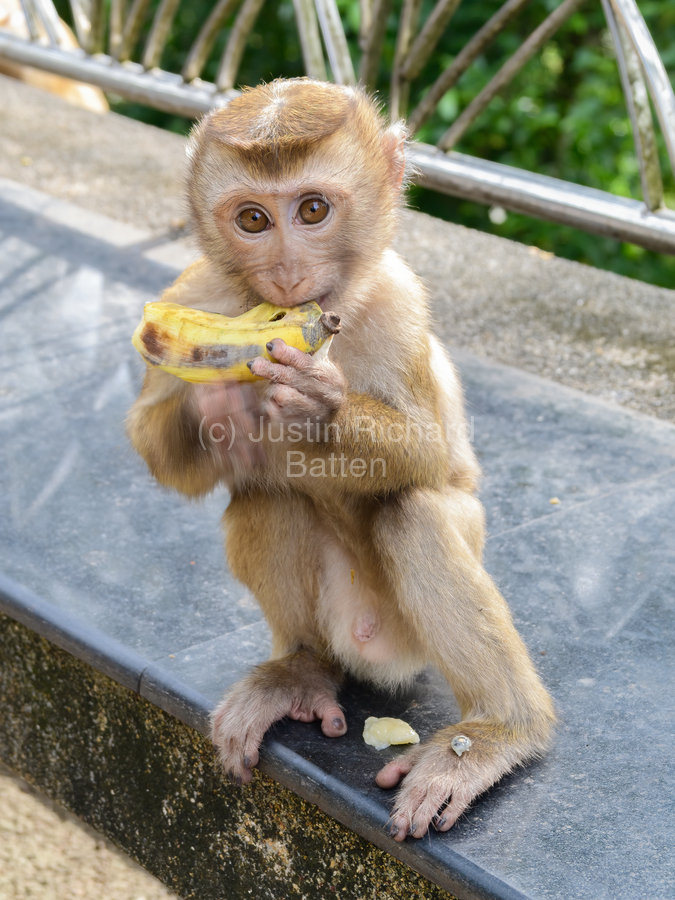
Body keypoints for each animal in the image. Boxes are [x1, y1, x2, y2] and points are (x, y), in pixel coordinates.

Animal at [127, 78, 556, 841]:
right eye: (253, 219)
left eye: (313, 210)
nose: (288, 273)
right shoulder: (193, 293)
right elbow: (160, 448)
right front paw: (216, 408)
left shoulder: (398, 303)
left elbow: (428, 454)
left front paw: (320, 404)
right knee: (265, 498)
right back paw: (302, 673)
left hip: (403, 637)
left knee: (413, 512)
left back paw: (497, 733)